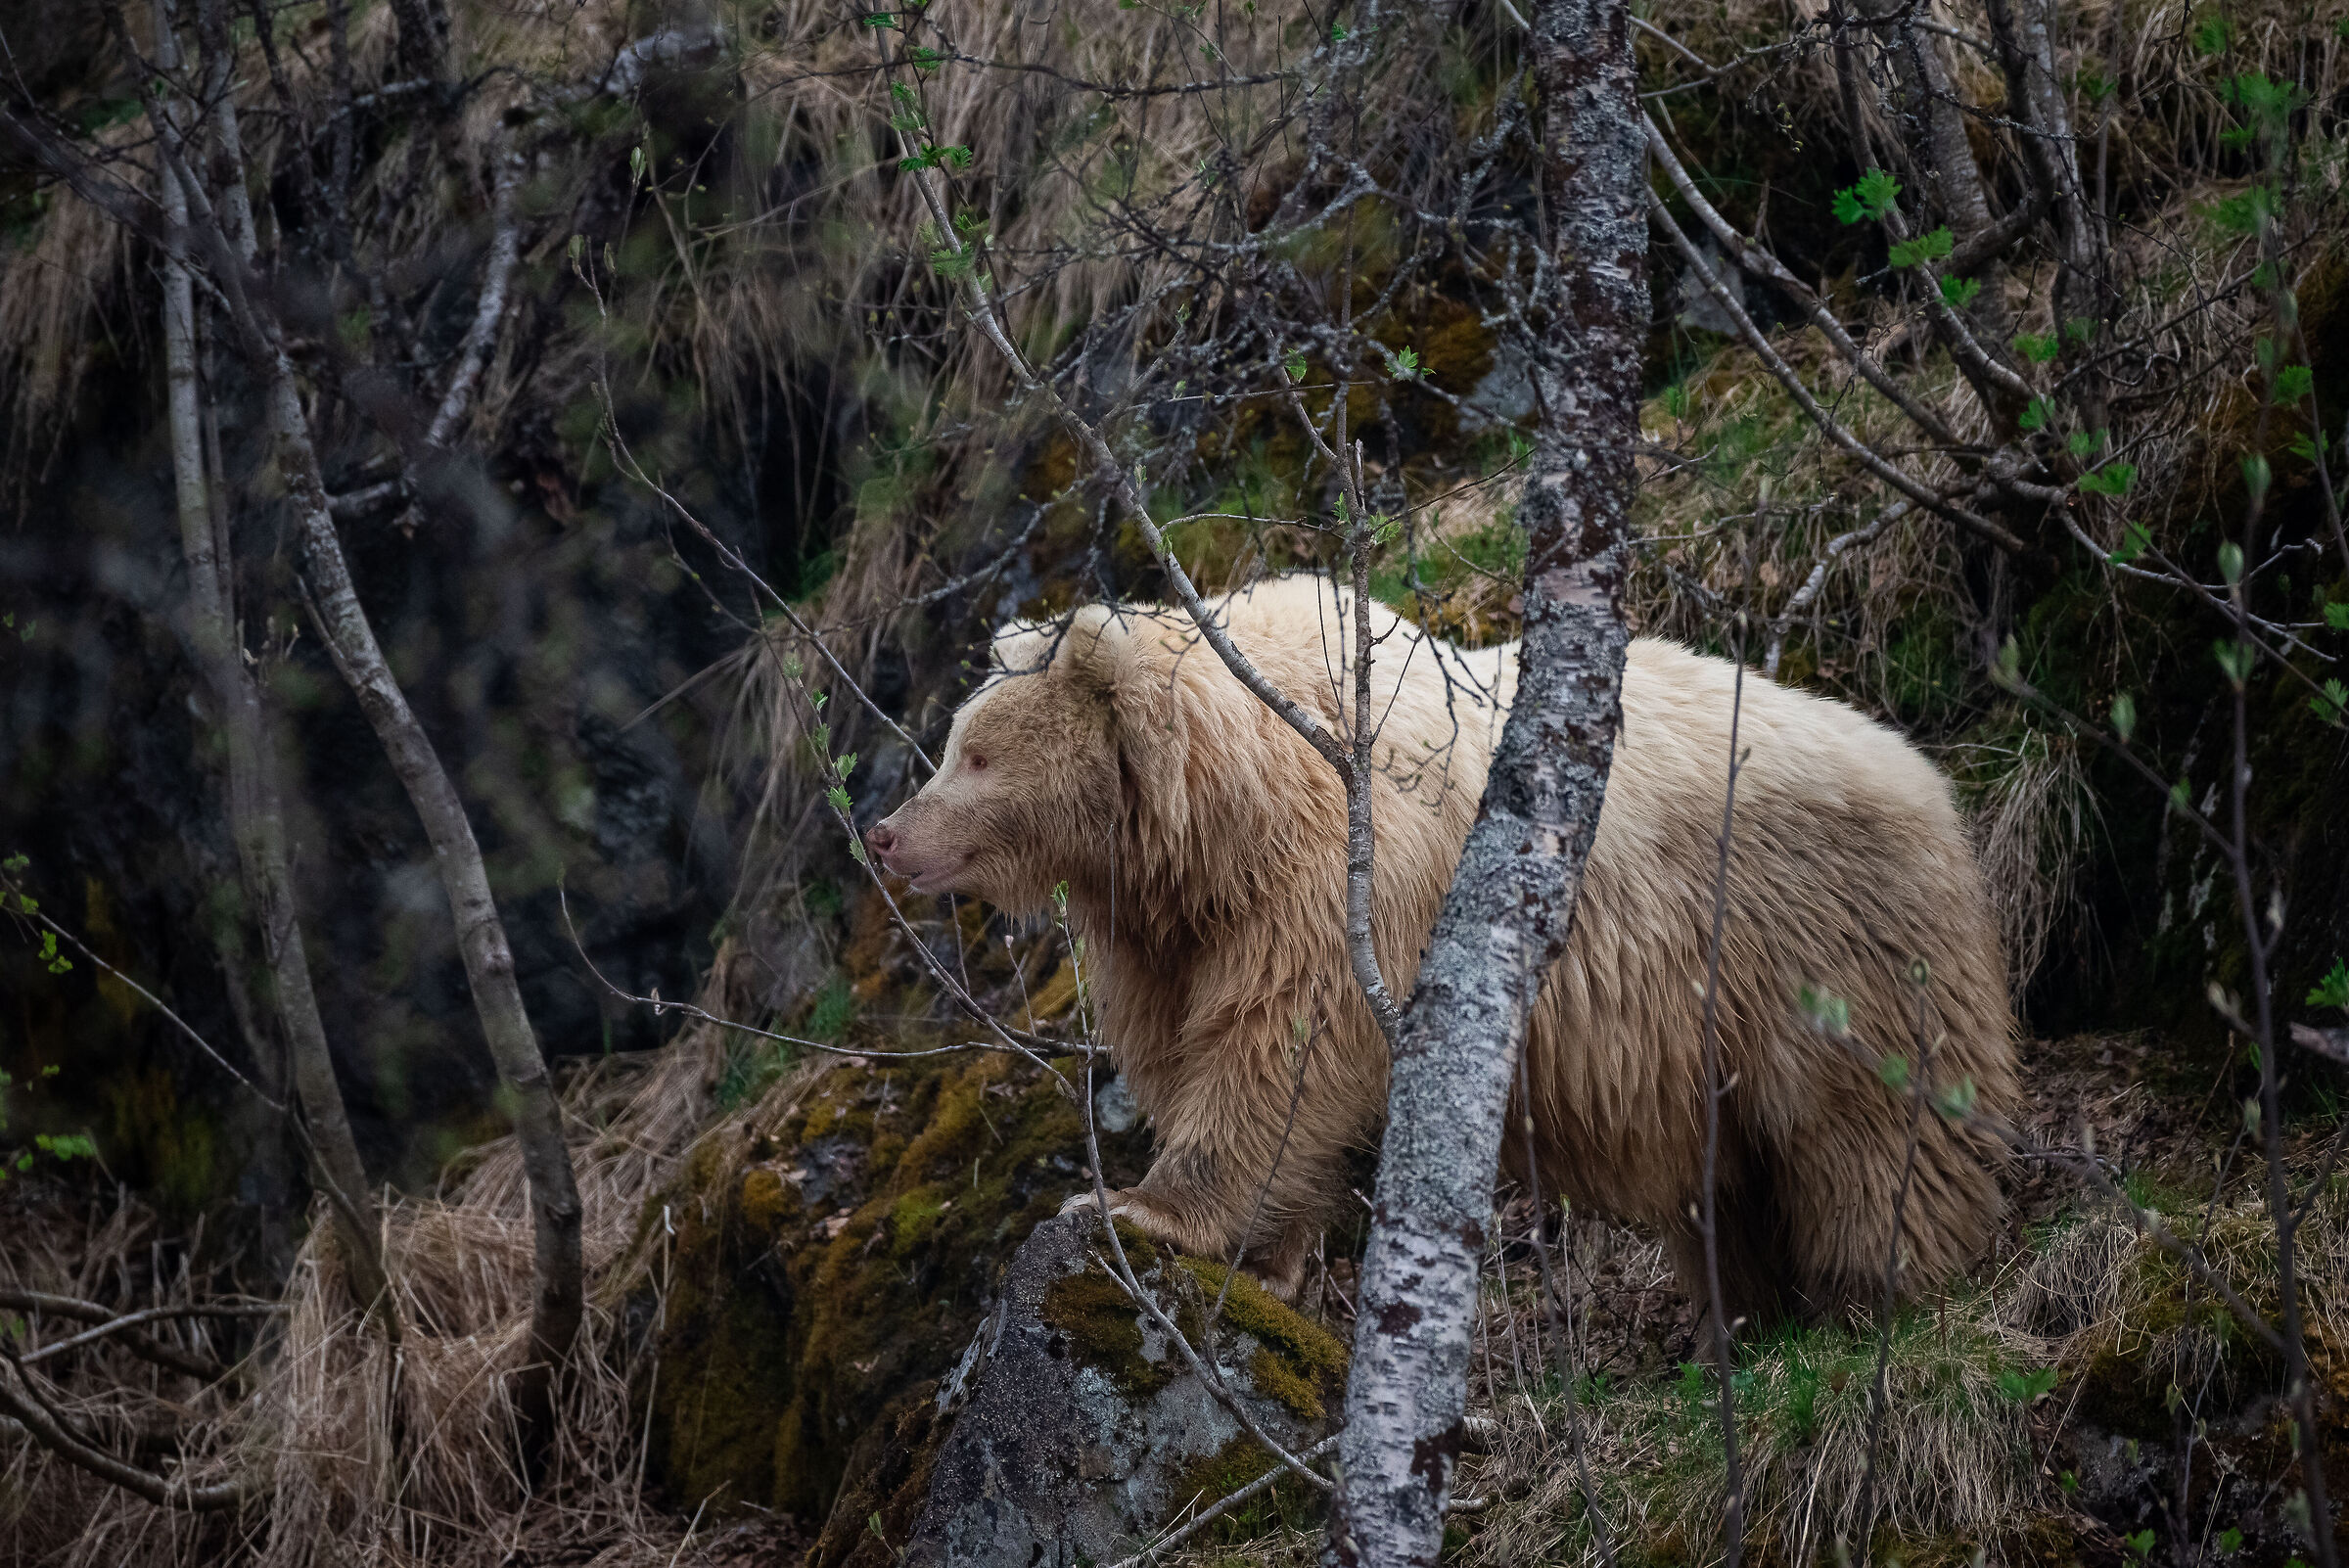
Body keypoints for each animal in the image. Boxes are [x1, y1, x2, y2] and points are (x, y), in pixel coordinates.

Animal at [863, 573, 2016, 1325]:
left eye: (973, 753)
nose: (885, 833)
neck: (1230, 802)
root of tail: (1932, 781)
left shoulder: (1349, 880)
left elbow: (1281, 1044)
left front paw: (1138, 1207)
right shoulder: (1171, 927)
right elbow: (1198, 1040)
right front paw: (1270, 1256)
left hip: (1824, 952)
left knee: (1873, 1140)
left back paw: (1882, 1295)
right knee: (1726, 1191)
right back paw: (1743, 1317)